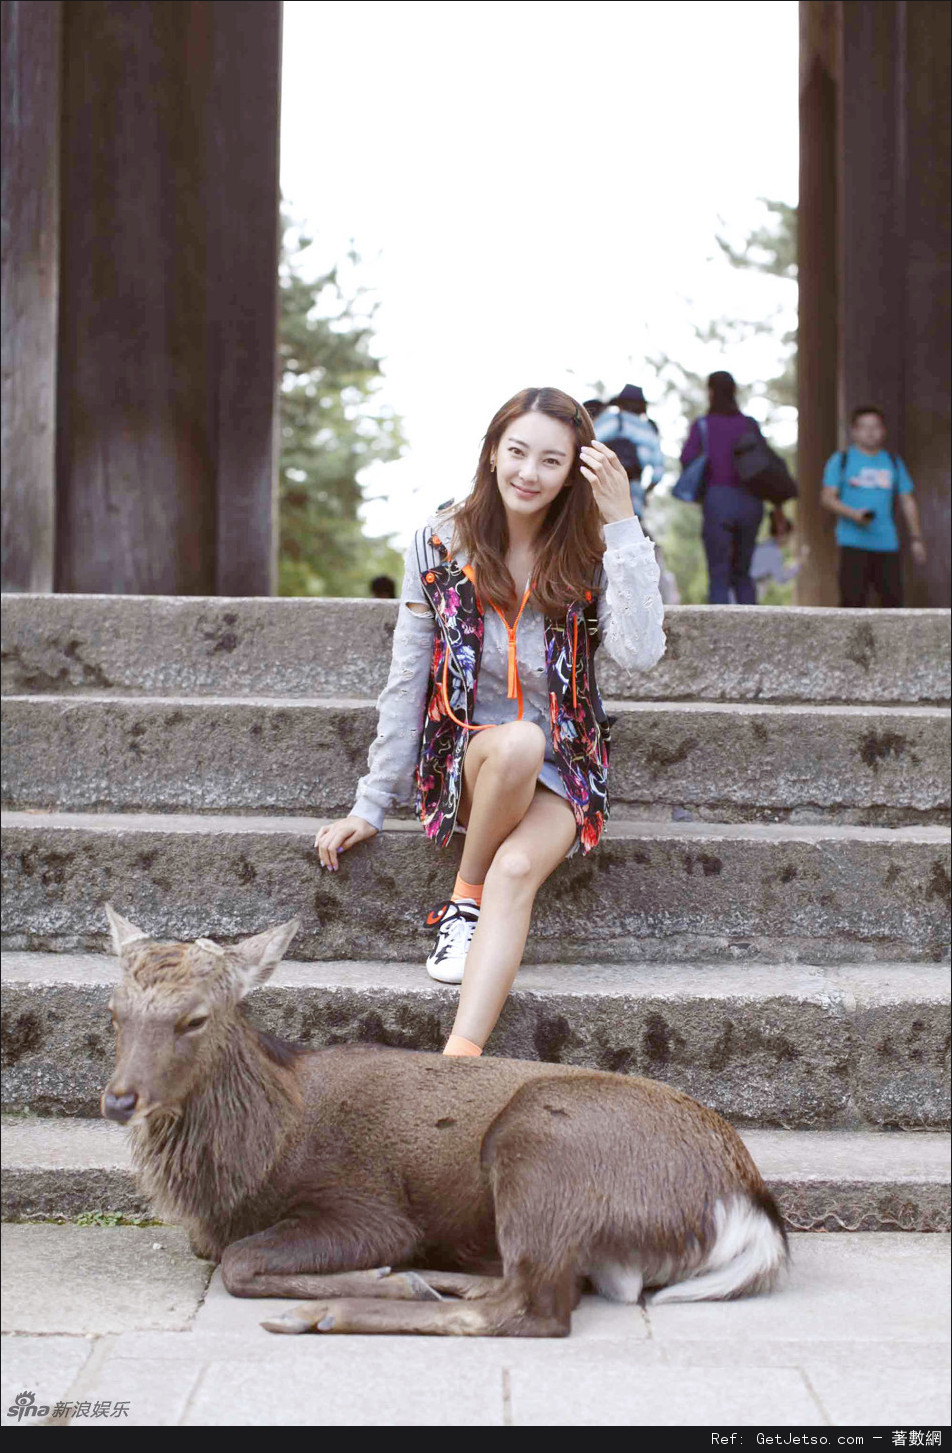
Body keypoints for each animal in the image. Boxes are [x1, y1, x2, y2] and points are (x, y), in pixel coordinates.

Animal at [100, 906, 790, 1336]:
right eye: (114, 1010)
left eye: (195, 1018)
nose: (119, 1100)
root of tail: (748, 1205)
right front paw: (389, 1278)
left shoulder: (366, 1205)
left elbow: (239, 1263)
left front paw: (374, 1280)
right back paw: (417, 1280)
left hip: (540, 1144)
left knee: (532, 1309)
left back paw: (337, 1309)